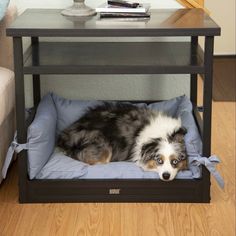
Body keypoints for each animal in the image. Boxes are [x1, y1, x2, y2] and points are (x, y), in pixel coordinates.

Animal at [57, 102, 188, 182]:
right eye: (159, 160)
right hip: (102, 143)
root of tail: (64, 136)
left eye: (175, 161)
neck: (165, 135)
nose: (166, 176)